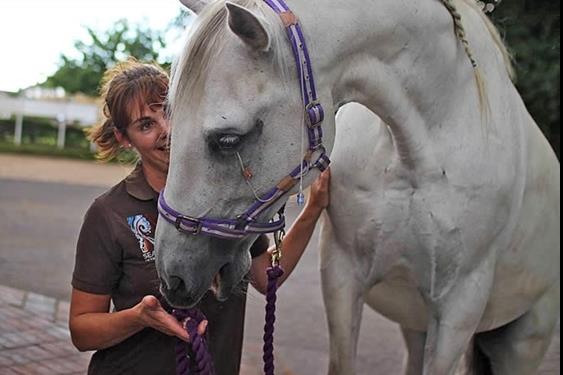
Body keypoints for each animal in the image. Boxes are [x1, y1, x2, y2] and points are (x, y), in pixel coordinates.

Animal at [156, 1, 560, 374]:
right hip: (416, 323)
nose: (172, 276)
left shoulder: (459, 305)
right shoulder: (342, 273)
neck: (416, 151)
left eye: (228, 139)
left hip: (525, 338)